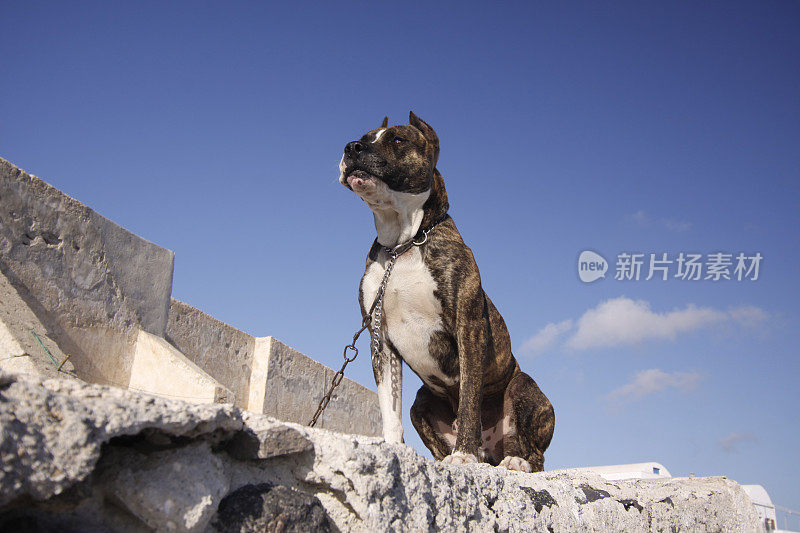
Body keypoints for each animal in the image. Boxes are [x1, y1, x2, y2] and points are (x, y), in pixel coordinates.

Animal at [340, 111, 556, 470]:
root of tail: (493, 453)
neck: (403, 244)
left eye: (398, 139)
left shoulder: (468, 326)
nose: (351, 147)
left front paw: (464, 453)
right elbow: (389, 408)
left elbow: (469, 398)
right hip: (421, 404)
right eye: (365, 137)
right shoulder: (380, 339)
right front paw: (392, 448)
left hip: (523, 387)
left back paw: (514, 461)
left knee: (532, 451)